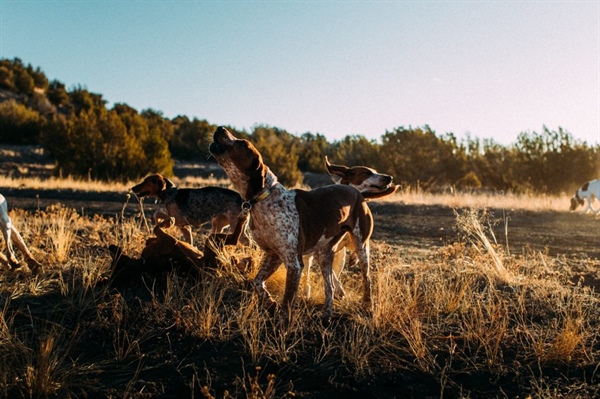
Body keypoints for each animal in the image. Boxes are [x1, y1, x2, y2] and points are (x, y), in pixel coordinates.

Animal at [209, 128, 372, 322]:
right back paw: (327, 314)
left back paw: (367, 306)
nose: (220, 128)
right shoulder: (273, 254)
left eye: (242, 143)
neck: (265, 198)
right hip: (324, 254)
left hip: (361, 247)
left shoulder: (294, 263)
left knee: (367, 279)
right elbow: (257, 283)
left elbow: (286, 303)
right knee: (330, 287)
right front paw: (270, 302)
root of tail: (359, 193)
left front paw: (282, 323)